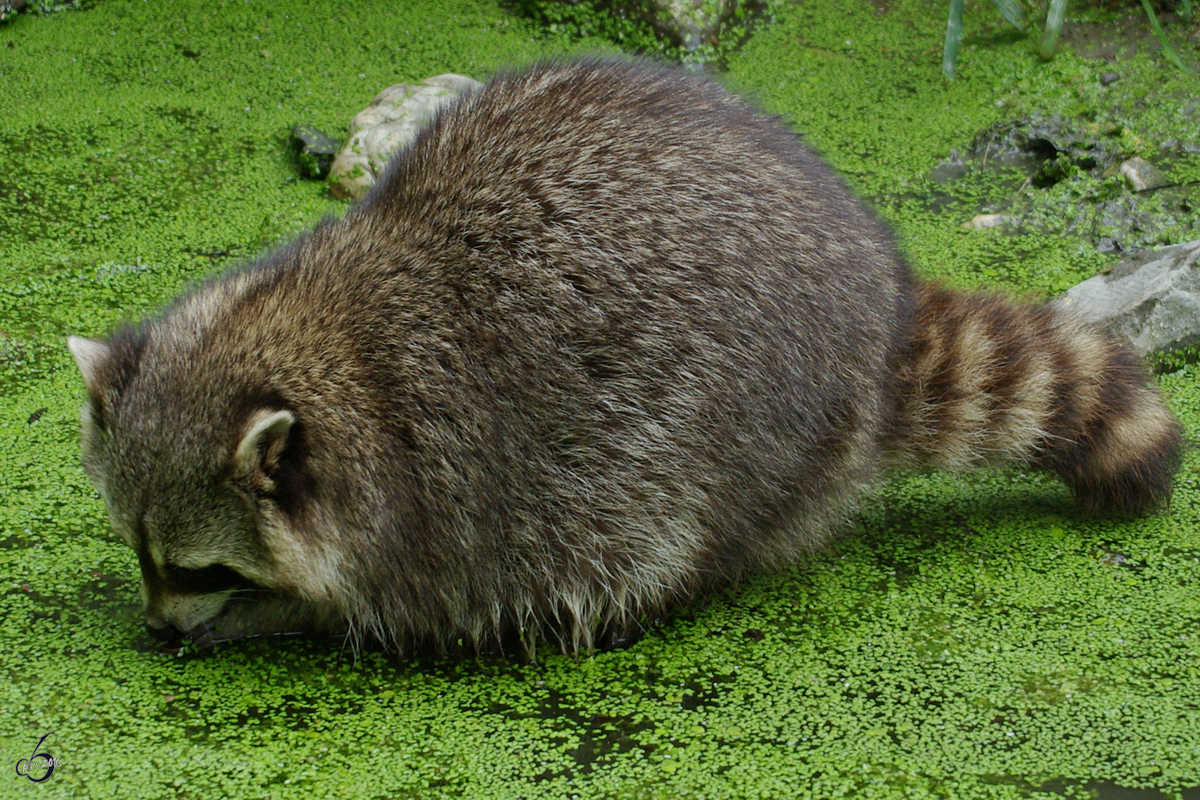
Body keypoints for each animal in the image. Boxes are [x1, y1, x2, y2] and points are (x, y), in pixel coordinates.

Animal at [70, 57, 1185, 657]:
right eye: (136, 547)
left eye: (196, 564)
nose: (157, 625)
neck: (309, 329)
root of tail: (879, 309)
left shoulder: (434, 512)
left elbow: (383, 610)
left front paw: (263, 614)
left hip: (733, 433)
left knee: (653, 540)